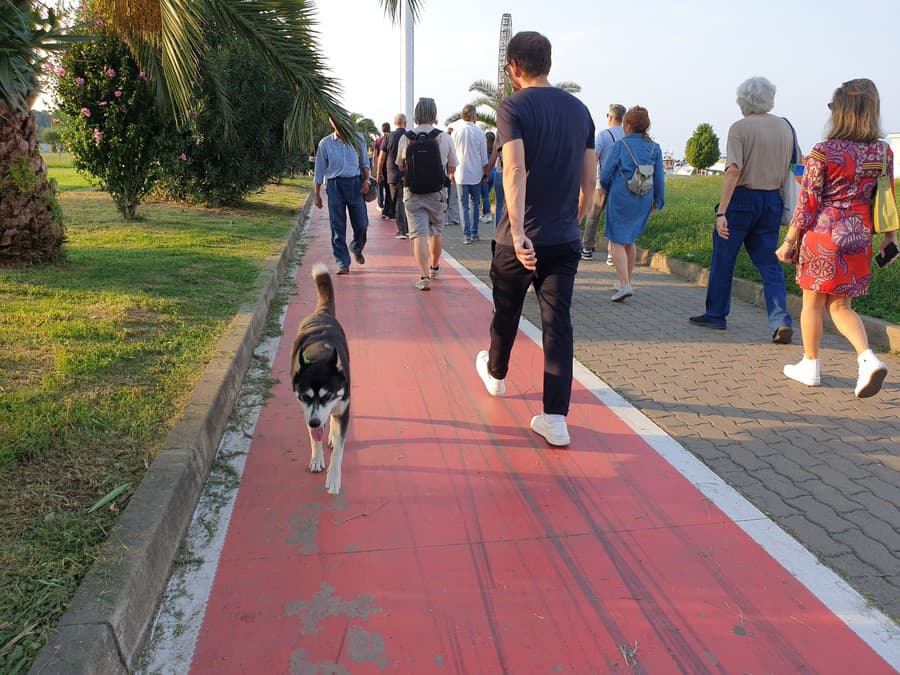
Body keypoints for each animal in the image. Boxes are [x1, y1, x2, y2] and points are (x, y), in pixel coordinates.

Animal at [294, 266, 354, 496]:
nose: (314, 422)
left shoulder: (343, 407)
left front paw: (334, 477)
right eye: (305, 396)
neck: (319, 354)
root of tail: (322, 313)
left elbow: (339, 449)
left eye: (327, 395)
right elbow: (314, 437)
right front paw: (317, 458)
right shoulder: (306, 409)